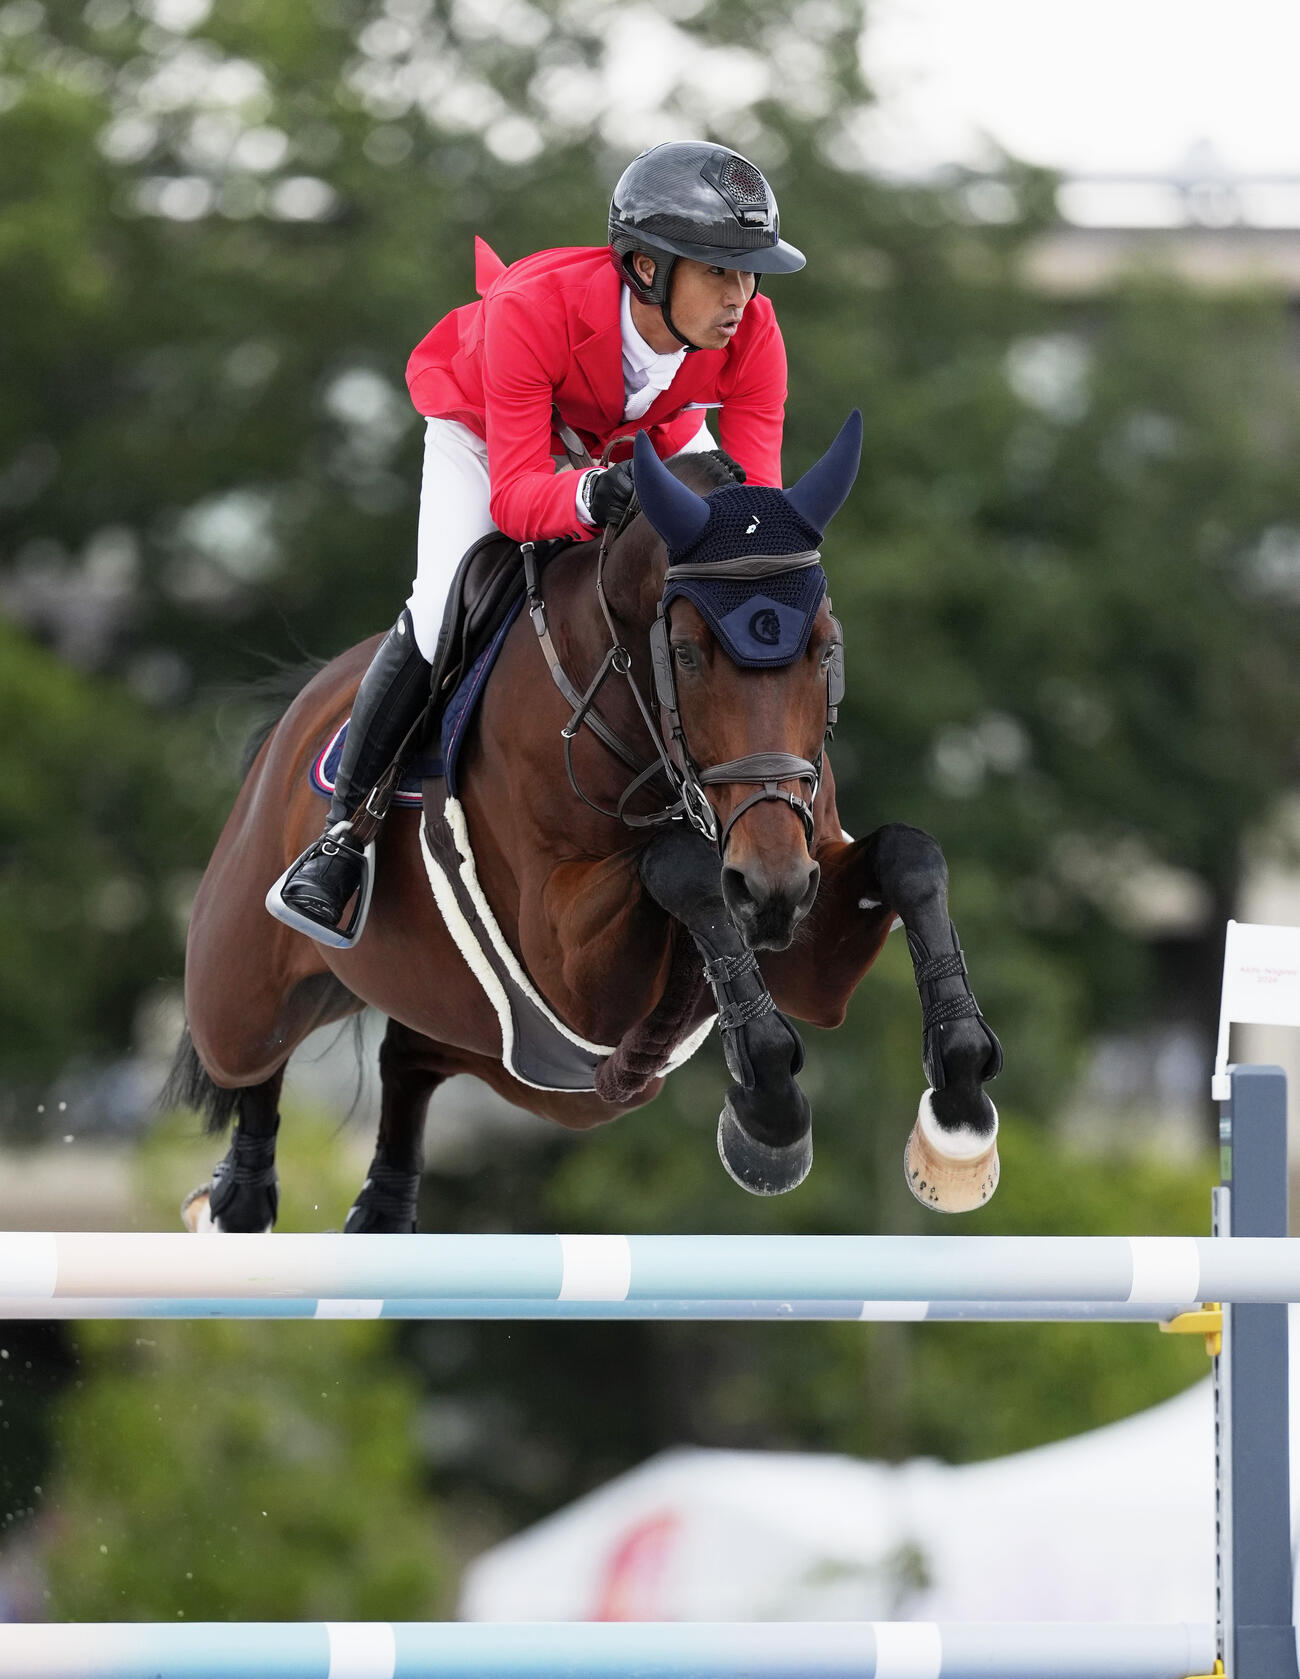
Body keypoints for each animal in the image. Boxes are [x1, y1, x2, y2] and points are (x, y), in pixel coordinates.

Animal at [166, 413, 1002, 1234]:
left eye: (825, 648)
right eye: (688, 654)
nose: (771, 891)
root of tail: (301, 711)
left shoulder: (809, 933)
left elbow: (910, 854)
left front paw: (959, 1100)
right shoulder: (569, 970)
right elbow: (677, 863)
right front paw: (768, 1109)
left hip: (493, 1047)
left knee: (408, 1058)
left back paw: (380, 1207)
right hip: (238, 992)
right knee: (252, 1063)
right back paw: (238, 1193)